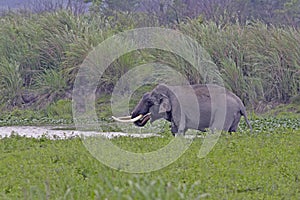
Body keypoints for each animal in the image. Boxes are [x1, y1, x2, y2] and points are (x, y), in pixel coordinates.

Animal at [113, 83, 253, 136]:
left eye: (149, 102)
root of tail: (240, 102)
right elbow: (174, 130)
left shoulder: (179, 109)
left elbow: (180, 129)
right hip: (234, 116)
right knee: (231, 131)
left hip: (225, 113)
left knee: (217, 131)